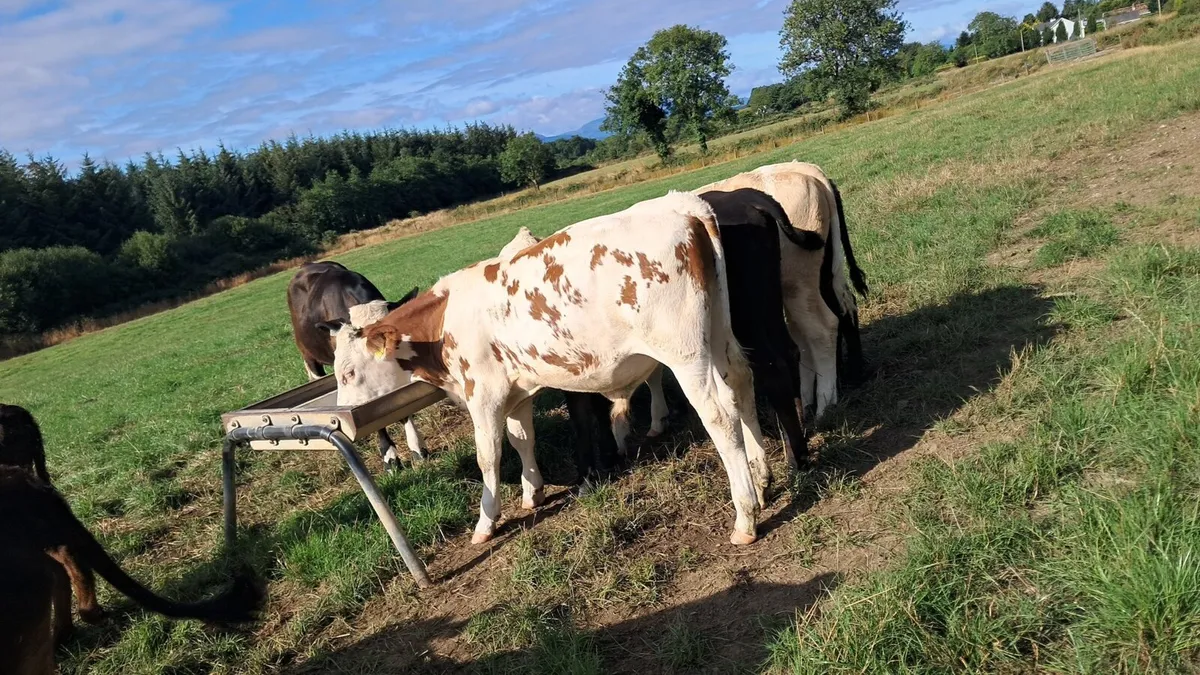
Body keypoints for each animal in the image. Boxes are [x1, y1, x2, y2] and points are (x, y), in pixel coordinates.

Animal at [328, 192, 801, 545]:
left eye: (348, 372)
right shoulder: (516, 392)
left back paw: (745, 516)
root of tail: (682, 205)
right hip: (721, 333)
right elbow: (522, 441)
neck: (444, 320)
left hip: (685, 353)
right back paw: (762, 479)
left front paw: (486, 522)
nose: (341, 418)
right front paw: (532, 492)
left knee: (719, 414)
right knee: (741, 382)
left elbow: (488, 456)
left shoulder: (484, 394)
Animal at [698, 161, 869, 419]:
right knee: (842, 308)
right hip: (822, 274)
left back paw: (825, 402)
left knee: (822, 327)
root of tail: (812, 175)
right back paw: (848, 377)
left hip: (797, 281)